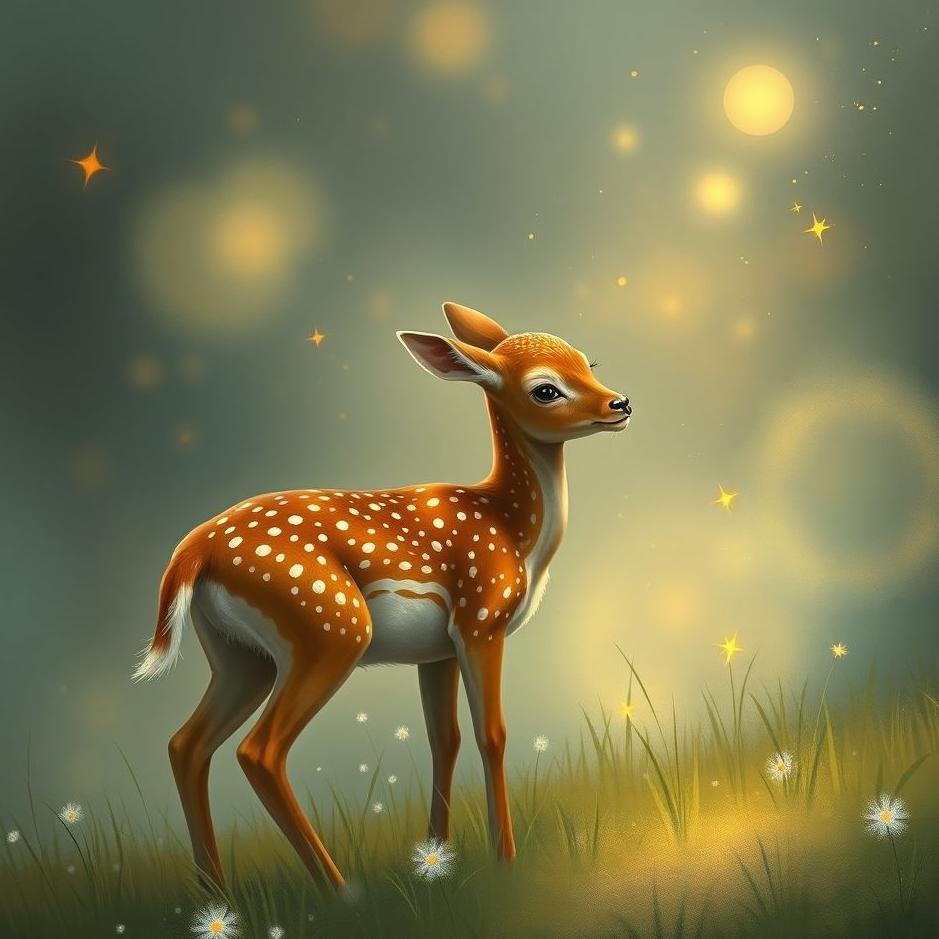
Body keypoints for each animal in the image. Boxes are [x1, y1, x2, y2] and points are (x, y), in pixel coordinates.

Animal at [133, 302, 631, 889]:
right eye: (546, 389)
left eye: (587, 362)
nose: (620, 403)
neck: (512, 533)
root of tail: (195, 549)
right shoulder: (480, 619)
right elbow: (492, 734)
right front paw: (504, 859)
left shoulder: (437, 650)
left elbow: (444, 738)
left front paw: (438, 854)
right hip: (327, 627)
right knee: (259, 751)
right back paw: (337, 887)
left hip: (239, 654)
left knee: (186, 744)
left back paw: (218, 891)